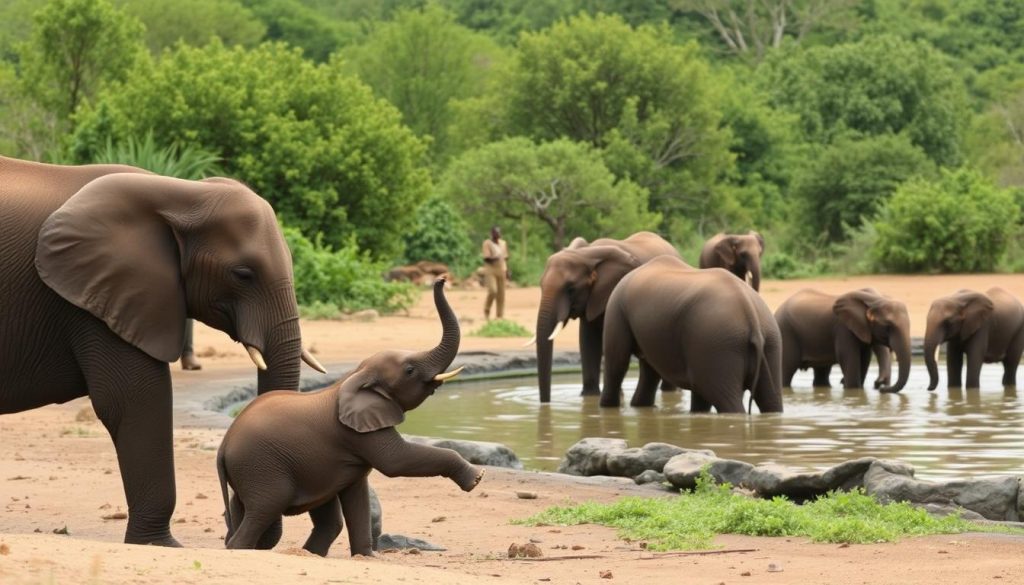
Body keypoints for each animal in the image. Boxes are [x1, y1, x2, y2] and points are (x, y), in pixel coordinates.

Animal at [0, 156, 323, 546]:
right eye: (243, 274)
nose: (230, 530)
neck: (181, 193)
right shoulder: (95, 300)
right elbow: (134, 398)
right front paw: (161, 544)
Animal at [217, 278, 482, 556]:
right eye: (409, 370)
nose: (441, 279)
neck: (356, 374)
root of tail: (222, 449)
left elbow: (358, 496)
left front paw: (366, 556)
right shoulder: (357, 432)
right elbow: (397, 461)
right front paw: (476, 478)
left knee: (314, 518)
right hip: (260, 468)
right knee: (265, 508)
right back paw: (242, 548)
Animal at [532, 231, 681, 402]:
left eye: (570, 289)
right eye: (540, 285)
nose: (545, 403)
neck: (586, 253)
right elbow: (588, 340)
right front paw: (590, 397)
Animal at [599, 257, 783, 413]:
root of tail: (749, 311)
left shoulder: (616, 308)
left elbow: (617, 360)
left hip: (717, 342)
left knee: (724, 399)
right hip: (767, 341)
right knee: (770, 399)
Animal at [775, 288, 911, 393]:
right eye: (888, 327)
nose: (880, 387)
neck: (874, 298)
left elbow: (865, 359)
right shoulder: (843, 329)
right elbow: (847, 358)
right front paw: (851, 389)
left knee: (822, 373)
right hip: (785, 332)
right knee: (786, 371)